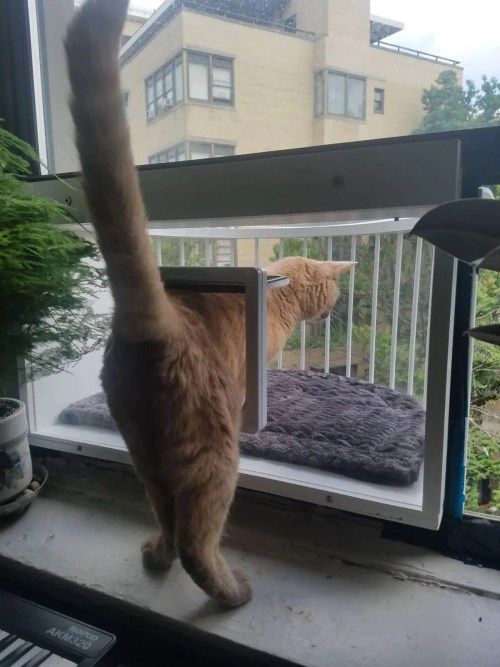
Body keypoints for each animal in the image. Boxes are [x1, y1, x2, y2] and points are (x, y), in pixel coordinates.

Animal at [64, 0, 354, 608]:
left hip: (145, 454)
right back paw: (230, 592)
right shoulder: (252, 372)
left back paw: (155, 555)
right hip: (213, 455)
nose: (334, 311)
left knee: (167, 518)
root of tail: (156, 322)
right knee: (196, 536)